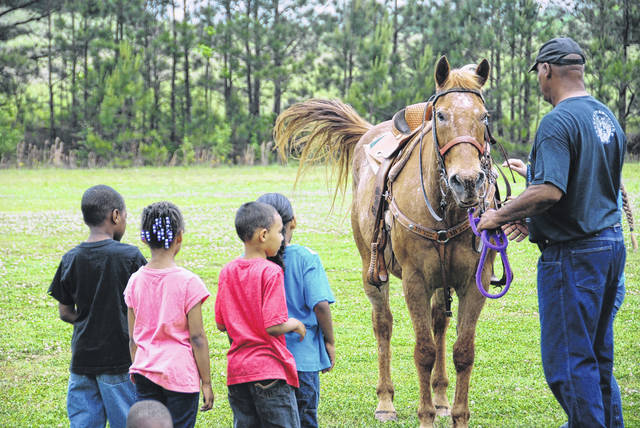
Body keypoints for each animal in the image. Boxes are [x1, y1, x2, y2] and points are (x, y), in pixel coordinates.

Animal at [272, 57, 498, 428]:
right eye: (441, 115)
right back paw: (386, 402)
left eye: (484, 116)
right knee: (384, 325)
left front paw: (453, 413)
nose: (466, 181)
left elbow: (463, 352)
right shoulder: (415, 281)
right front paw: (424, 417)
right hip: (372, 269)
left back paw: (440, 398)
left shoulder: (472, 283)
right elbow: (423, 351)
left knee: (439, 323)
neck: (446, 209)